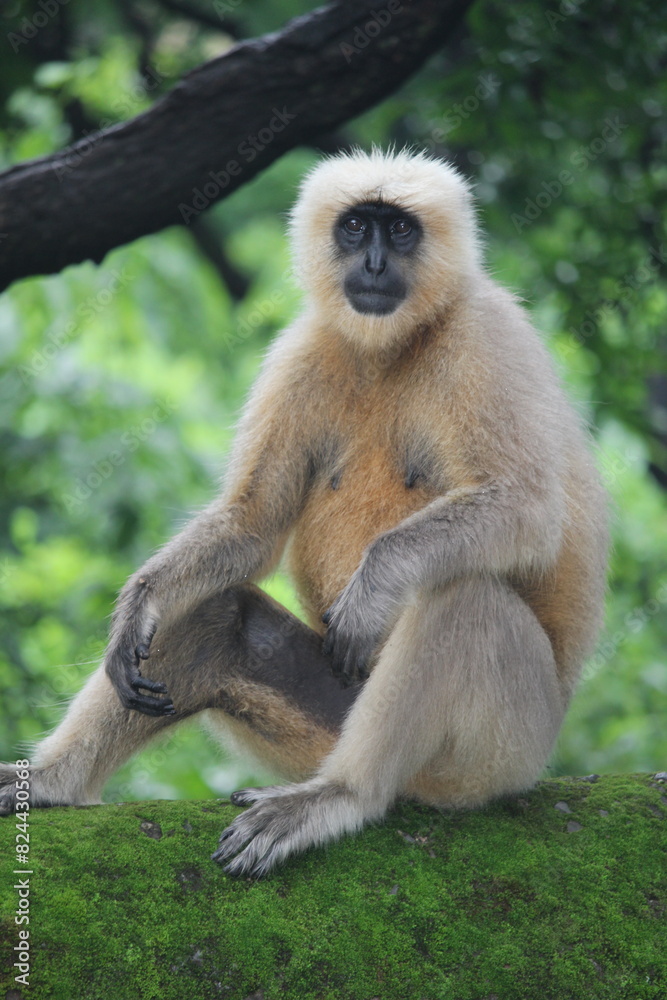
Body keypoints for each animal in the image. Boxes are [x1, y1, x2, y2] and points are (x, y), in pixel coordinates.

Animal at [0, 148, 608, 877]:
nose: (372, 262)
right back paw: (53, 782)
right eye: (355, 228)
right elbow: (253, 524)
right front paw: (138, 604)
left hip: (502, 754)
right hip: (326, 723)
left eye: (398, 231)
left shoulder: (486, 334)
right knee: (219, 613)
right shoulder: (304, 349)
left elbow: (528, 509)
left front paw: (374, 587)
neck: (392, 348)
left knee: (464, 602)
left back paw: (343, 796)